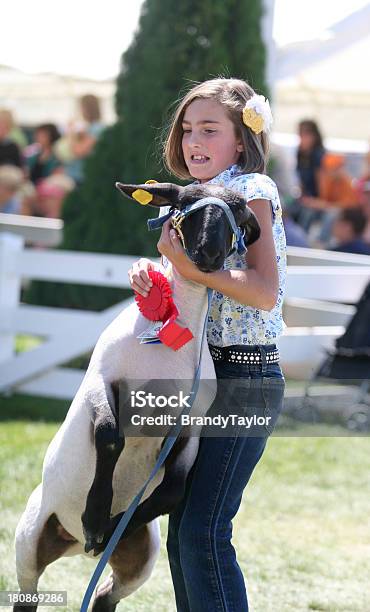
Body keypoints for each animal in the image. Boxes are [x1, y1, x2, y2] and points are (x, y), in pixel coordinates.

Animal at [13, 180, 260, 612]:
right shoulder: (102, 380)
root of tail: (67, 544)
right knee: (27, 594)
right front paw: (96, 520)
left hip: (141, 559)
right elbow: (111, 436)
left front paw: (110, 527)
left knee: (105, 597)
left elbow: (173, 490)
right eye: (184, 202)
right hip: (28, 540)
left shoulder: (189, 424)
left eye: (242, 214)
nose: (209, 253)